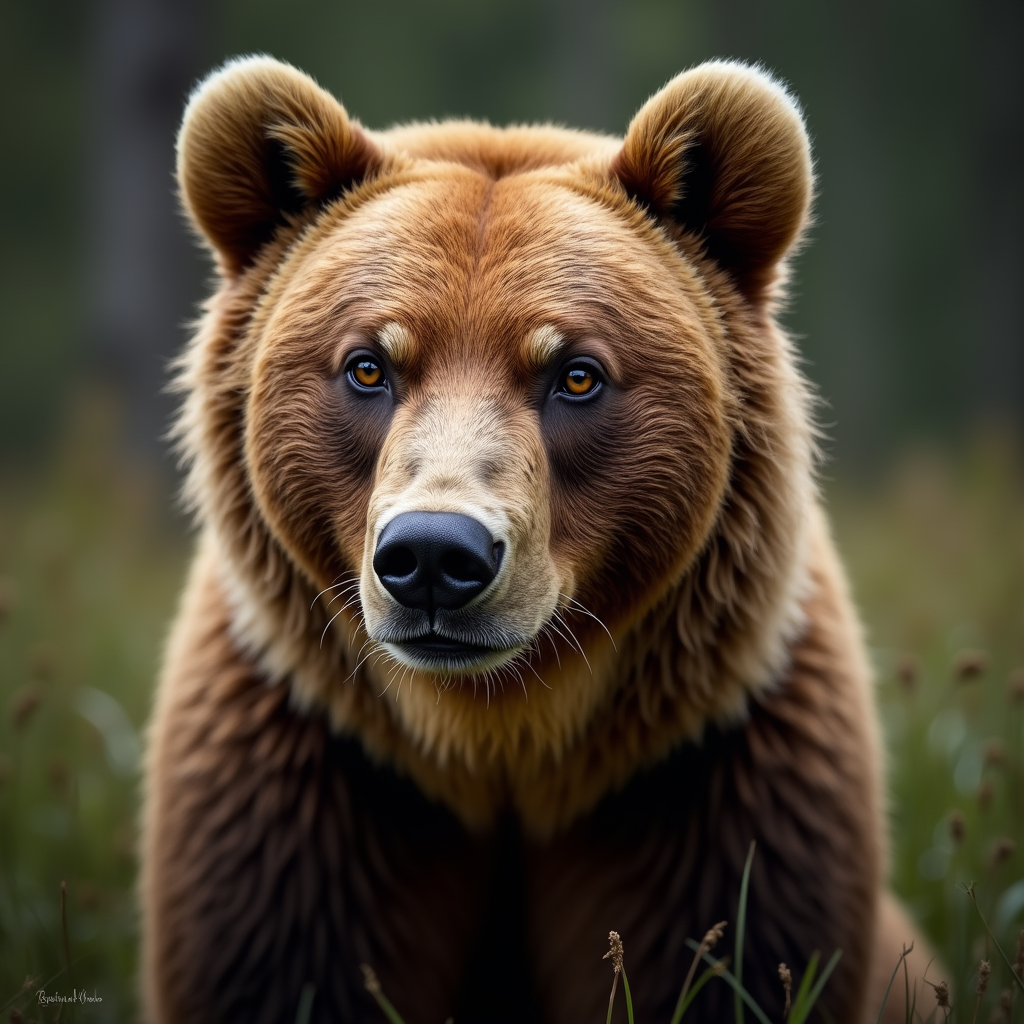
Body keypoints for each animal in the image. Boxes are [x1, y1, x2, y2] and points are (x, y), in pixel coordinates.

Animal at [142, 55, 936, 1023]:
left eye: (576, 373)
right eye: (369, 365)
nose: (434, 556)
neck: (498, 743)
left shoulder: (709, 777)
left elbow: (728, 957)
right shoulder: (310, 778)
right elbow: (280, 961)